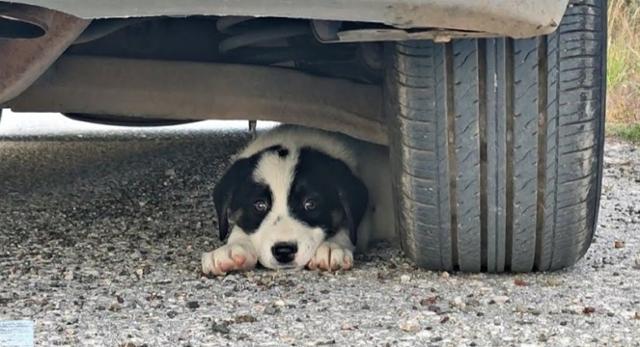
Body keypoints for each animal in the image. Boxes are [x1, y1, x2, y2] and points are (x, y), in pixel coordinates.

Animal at [201, 123, 396, 276]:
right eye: (259, 205)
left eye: (310, 204)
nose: (283, 251)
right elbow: (238, 230)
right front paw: (231, 249)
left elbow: (348, 226)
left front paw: (332, 247)